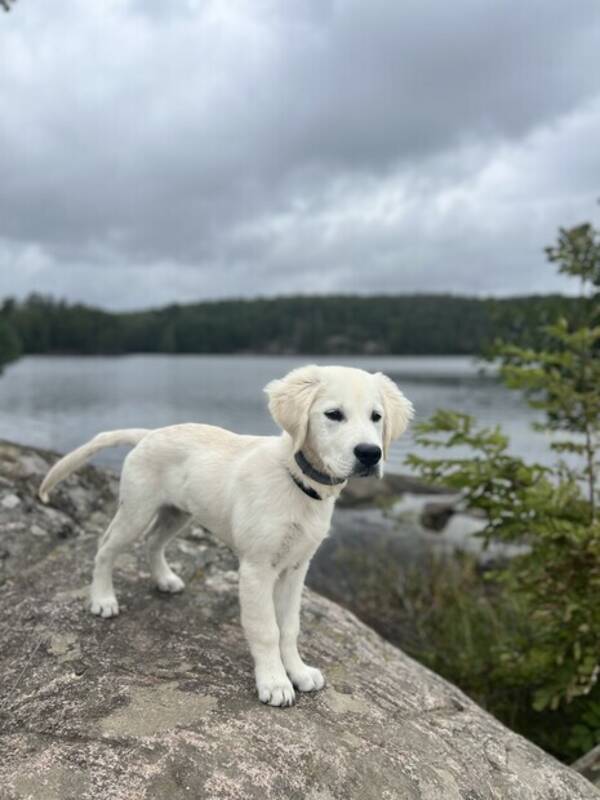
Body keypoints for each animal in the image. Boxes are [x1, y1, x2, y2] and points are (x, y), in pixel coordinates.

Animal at [37, 364, 412, 708]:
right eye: (333, 415)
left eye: (376, 417)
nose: (370, 454)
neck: (298, 481)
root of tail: (149, 433)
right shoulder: (257, 568)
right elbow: (266, 629)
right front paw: (274, 682)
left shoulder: (296, 568)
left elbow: (289, 627)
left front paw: (298, 671)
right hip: (137, 510)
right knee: (105, 547)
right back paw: (102, 599)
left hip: (177, 513)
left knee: (154, 542)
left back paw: (164, 579)